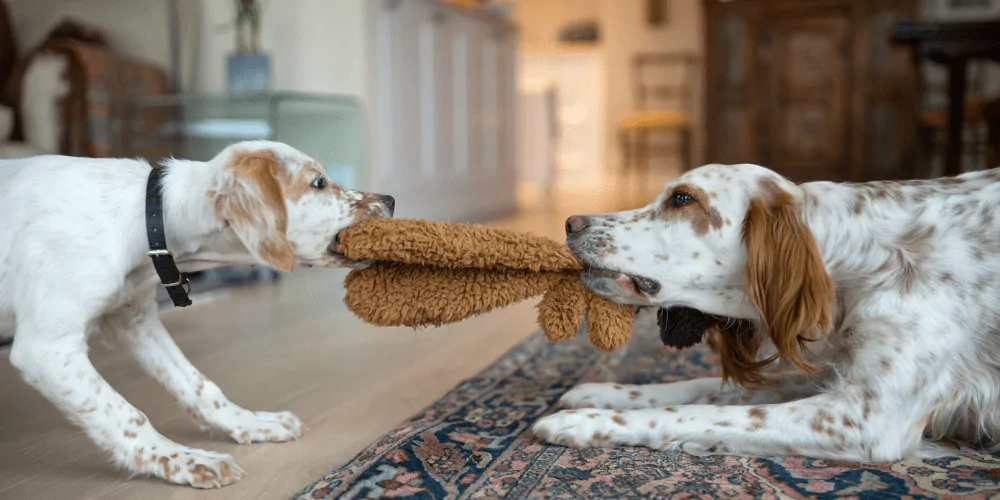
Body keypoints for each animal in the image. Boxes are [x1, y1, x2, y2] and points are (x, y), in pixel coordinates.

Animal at [0, 142, 394, 488]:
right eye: (318, 182)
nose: (390, 200)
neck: (144, 221)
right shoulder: (47, 349)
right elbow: (126, 414)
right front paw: (182, 460)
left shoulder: (135, 320)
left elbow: (198, 384)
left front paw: (250, 424)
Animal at [536, 165, 1000, 464]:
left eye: (682, 198)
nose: (571, 223)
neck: (864, 258)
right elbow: (704, 388)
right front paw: (602, 392)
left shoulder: (869, 417)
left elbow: (705, 414)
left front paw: (585, 422)